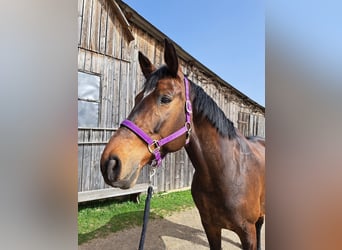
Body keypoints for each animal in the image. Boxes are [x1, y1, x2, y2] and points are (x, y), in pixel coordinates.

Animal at [100, 39, 266, 250]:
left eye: (165, 98)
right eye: (137, 98)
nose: (110, 163)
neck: (226, 172)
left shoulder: (247, 233)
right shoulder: (211, 227)